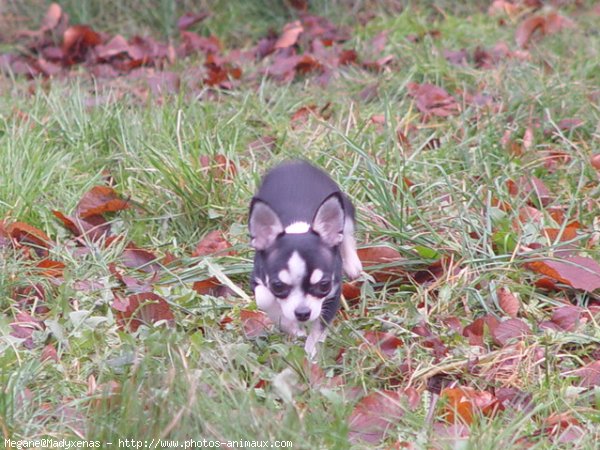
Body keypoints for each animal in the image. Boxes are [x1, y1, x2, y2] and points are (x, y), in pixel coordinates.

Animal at [247, 161, 360, 358]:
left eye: (324, 285)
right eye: (278, 286)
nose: (302, 313)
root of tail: (293, 163)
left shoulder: (332, 295)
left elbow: (318, 330)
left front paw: (311, 354)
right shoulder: (258, 279)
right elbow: (265, 299)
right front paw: (291, 327)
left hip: (346, 210)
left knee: (346, 233)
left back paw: (353, 263)